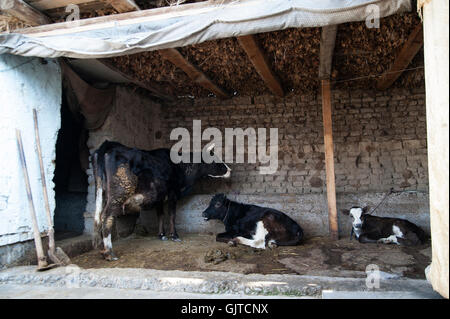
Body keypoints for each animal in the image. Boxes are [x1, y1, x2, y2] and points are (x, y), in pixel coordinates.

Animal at [92, 141, 230, 262]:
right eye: (215, 158)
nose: (229, 170)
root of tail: (110, 145)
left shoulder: (159, 197)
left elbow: (160, 215)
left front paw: (162, 235)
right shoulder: (173, 194)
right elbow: (172, 215)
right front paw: (174, 236)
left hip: (103, 192)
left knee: (98, 218)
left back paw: (102, 251)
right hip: (119, 193)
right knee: (106, 217)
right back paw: (109, 254)